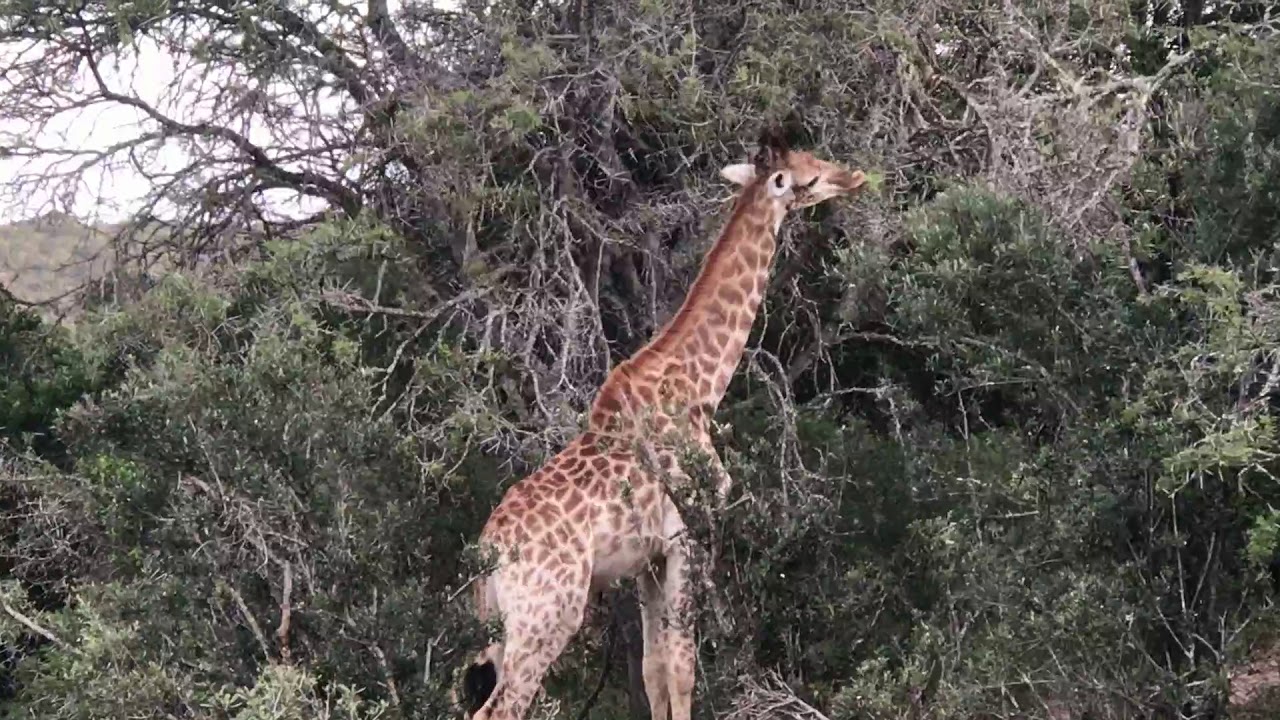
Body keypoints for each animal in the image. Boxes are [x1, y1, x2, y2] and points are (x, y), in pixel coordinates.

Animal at [453, 127, 867, 720]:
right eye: (809, 176)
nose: (854, 177)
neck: (700, 387)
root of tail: (486, 557)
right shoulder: (687, 531)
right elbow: (683, 667)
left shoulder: (645, 558)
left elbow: (654, 672)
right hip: (548, 614)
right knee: (502, 707)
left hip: (500, 627)